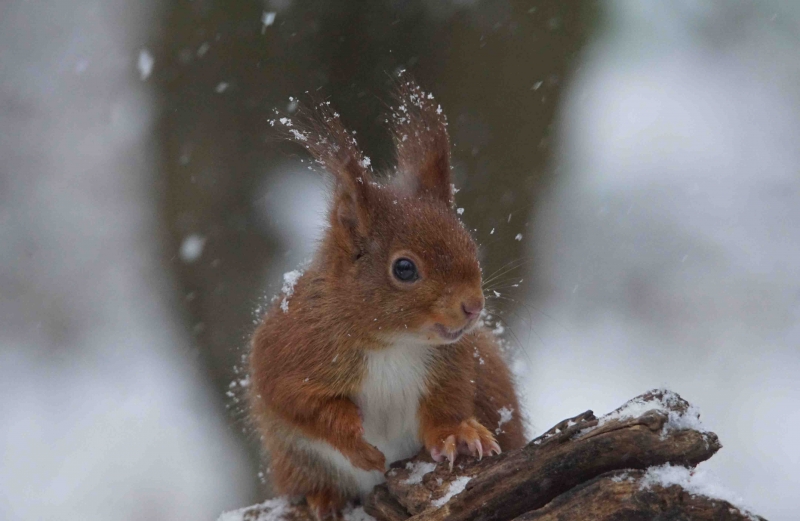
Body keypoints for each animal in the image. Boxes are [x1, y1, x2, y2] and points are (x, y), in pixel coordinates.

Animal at [250, 79, 524, 516]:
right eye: (404, 268)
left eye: (470, 244)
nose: (473, 306)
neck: (393, 344)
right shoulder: (286, 355)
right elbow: (302, 407)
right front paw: (356, 444)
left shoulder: (452, 363)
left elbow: (448, 402)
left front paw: (457, 434)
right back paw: (323, 496)